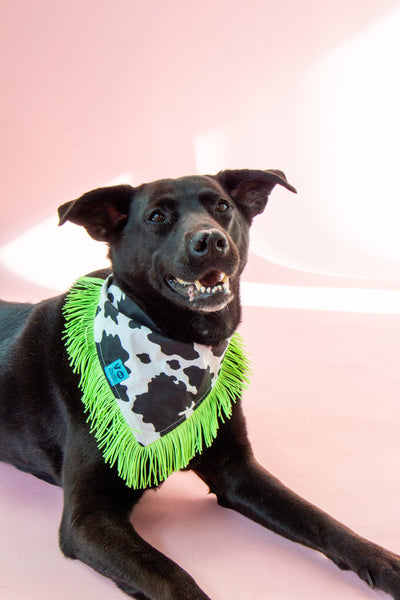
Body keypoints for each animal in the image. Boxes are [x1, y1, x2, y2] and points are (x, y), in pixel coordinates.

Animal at [0, 170, 400, 600]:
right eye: (157, 216)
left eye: (221, 206)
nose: (210, 240)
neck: (177, 341)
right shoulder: (88, 519)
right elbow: (173, 578)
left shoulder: (235, 469)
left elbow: (319, 519)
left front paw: (383, 561)